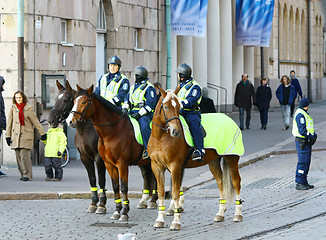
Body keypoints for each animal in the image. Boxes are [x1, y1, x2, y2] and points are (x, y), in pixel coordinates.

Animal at [49, 80, 158, 216]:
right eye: (73, 101)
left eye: (65, 100)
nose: (51, 120)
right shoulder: (86, 158)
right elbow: (92, 179)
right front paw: (93, 203)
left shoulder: (100, 159)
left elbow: (102, 180)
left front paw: (101, 205)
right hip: (142, 162)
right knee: (147, 176)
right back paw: (144, 201)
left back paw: (153, 201)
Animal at [149, 87, 243, 230]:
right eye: (165, 107)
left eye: (178, 107)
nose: (176, 131)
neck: (160, 138)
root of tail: (229, 119)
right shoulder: (157, 167)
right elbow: (161, 192)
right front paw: (160, 220)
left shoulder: (175, 166)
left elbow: (175, 193)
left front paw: (176, 221)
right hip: (214, 162)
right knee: (220, 182)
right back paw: (220, 214)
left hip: (231, 158)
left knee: (236, 182)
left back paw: (238, 214)